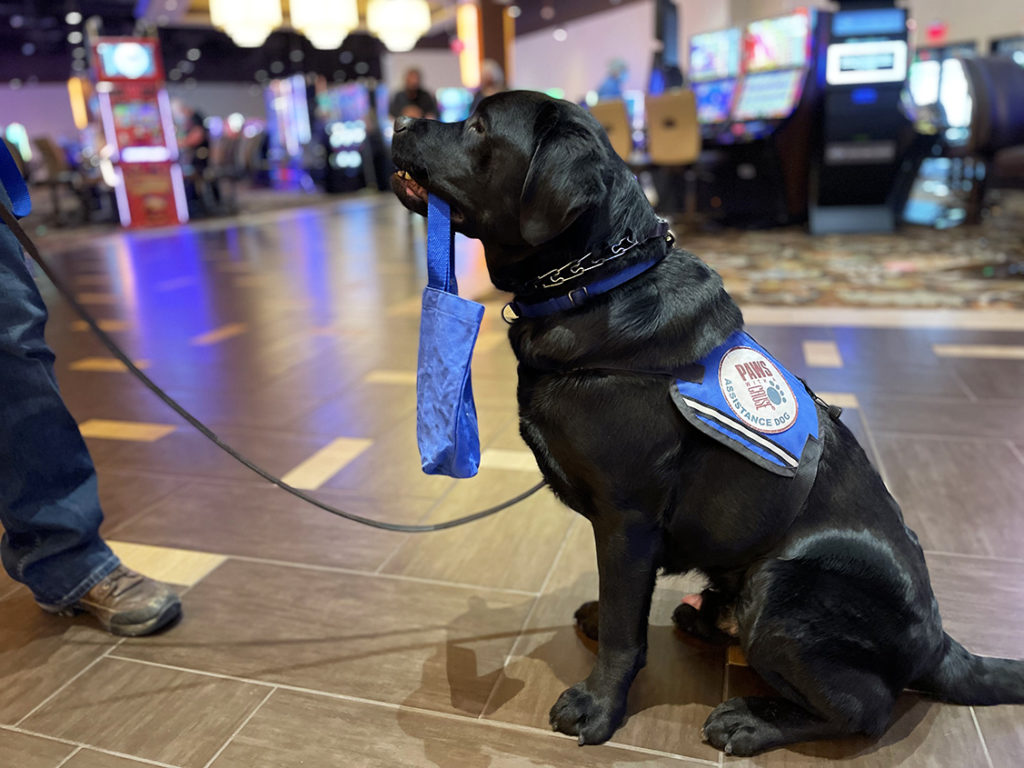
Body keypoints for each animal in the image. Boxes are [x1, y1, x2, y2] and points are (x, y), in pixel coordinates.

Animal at [389, 91, 1024, 757]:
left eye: (478, 126)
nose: (399, 120)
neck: (597, 283)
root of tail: (940, 644)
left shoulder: (627, 516)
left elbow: (624, 628)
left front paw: (598, 705)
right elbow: (622, 604)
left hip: (783, 586)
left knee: (866, 709)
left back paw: (751, 719)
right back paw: (703, 616)